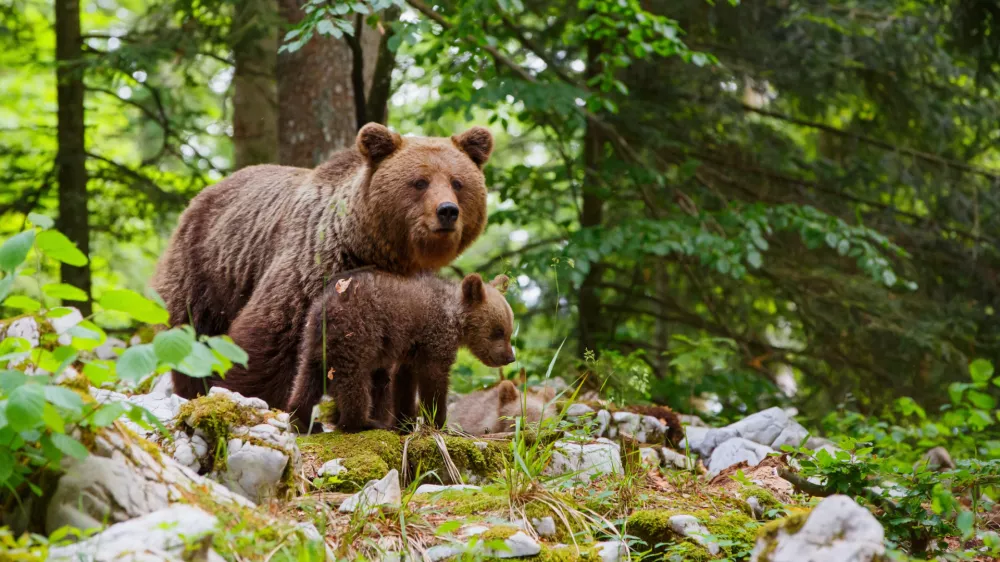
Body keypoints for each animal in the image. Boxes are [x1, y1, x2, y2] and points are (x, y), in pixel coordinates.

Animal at [151, 123, 493, 409]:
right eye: (420, 182)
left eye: (458, 182)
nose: (447, 211)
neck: (374, 249)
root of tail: (207, 190)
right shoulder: (315, 267)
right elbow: (271, 338)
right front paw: (250, 395)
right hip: (207, 266)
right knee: (193, 334)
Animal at [286, 271, 516, 432]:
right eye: (498, 331)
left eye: (509, 330)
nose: (510, 357)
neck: (455, 318)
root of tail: (326, 308)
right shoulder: (435, 337)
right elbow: (434, 379)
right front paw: (438, 422)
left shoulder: (410, 350)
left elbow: (404, 381)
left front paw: (405, 422)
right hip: (357, 332)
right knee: (355, 379)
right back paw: (362, 422)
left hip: (314, 340)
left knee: (308, 377)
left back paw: (303, 419)